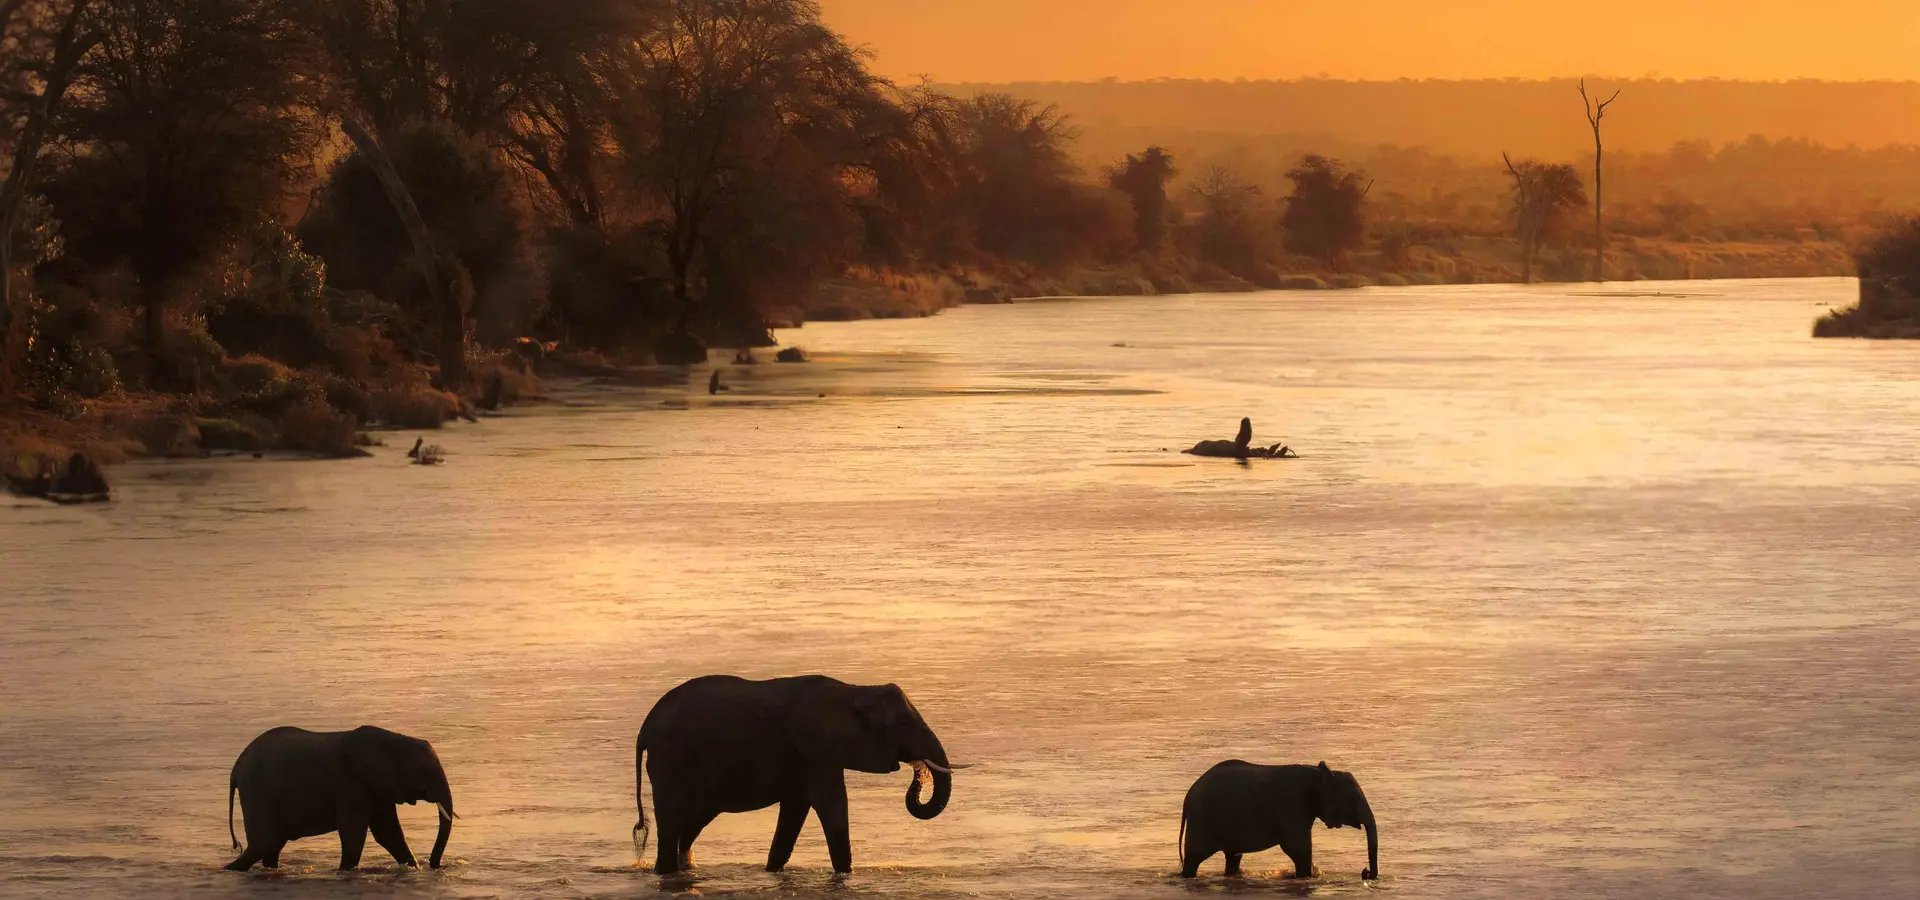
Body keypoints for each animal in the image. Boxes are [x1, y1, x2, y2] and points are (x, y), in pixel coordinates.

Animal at [224, 725, 455, 872]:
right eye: (425, 771)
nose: (435, 866)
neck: (394, 739)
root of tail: (236, 768)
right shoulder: (351, 785)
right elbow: (354, 833)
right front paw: (344, 871)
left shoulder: (378, 788)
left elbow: (388, 834)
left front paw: (414, 869)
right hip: (258, 790)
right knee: (266, 843)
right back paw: (228, 870)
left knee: (272, 846)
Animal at [633, 674, 961, 875]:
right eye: (902, 722)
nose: (916, 775)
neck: (854, 690)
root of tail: (645, 727)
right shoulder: (816, 750)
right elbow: (831, 806)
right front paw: (846, 873)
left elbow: (795, 810)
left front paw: (771, 872)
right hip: (671, 759)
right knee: (673, 819)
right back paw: (666, 872)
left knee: (693, 822)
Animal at [1178, 760, 1377, 881]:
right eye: (1353, 801)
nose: (1365, 872)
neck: (1318, 774)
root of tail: (1188, 796)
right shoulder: (1293, 805)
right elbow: (1298, 848)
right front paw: (1307, 877)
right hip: (1202, 820)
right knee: (1194, 858)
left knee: (1233, 856)